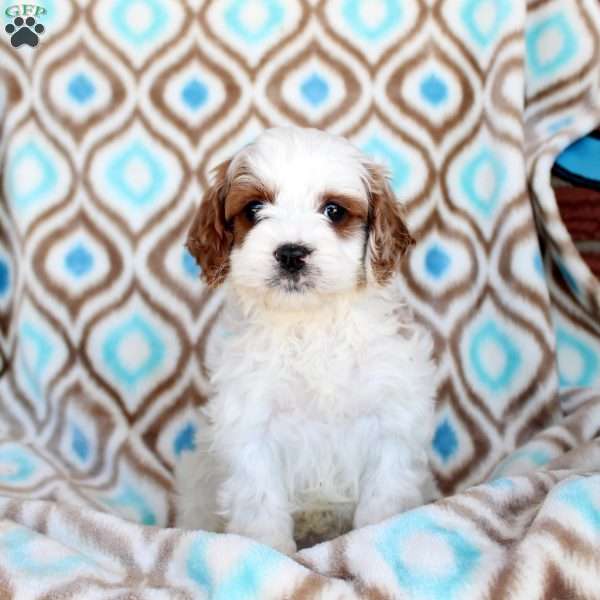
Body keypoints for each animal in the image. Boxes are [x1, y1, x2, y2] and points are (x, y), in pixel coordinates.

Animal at [176, 125, 434, 552]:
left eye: (333, 211)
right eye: (254, 209)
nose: (292, 253)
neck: (311, 322)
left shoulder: (391, 422)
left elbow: (382, 500)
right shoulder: (252, 427)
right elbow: (260, 505)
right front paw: (271, 553)